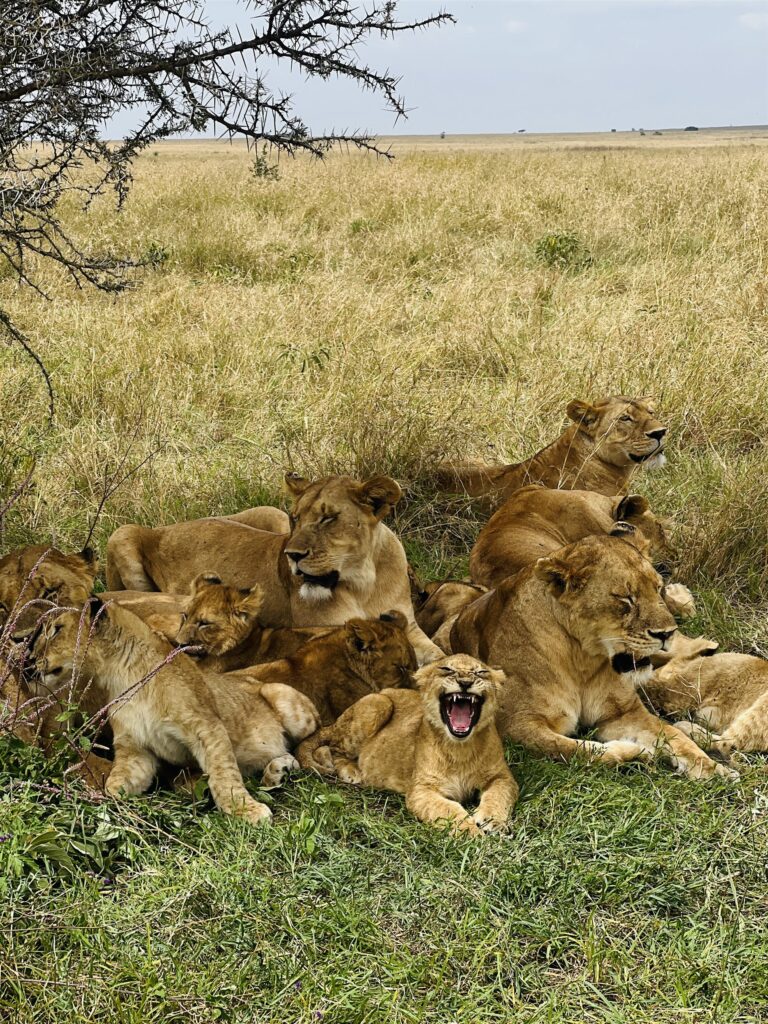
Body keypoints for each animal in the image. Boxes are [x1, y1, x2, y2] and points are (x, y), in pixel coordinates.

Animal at [28, 599, 320, 823]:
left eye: (56, 630)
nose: (30, 661)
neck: (121, 674)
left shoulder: (207, 727)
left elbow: (224, 776)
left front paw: (247, 811)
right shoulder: (135, 749)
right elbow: (114, 785)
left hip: (280, 695)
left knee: (303, 740)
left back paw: (283, 767)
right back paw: (275, 773)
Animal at [105, 473, 442, 664]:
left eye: (328, 518)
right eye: (297, 518)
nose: (292, 554)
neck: (363, 580)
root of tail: (168, 527)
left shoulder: (411, 627)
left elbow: (440, 653)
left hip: (269, 513)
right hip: (122, 532)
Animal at [297, 654, 518, 836]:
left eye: (481, 672)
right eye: (446, 669)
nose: (465, 682)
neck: (460, 748)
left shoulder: (503, 777)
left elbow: (497, 795)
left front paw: (493, 822)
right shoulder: (420, 790)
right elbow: (449, 809)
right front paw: (469, 832)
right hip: (377, 702)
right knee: (333, 748)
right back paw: (352, 772)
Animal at [450, 535, 734, 780]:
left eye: (658, 589)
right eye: (625, 599)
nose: (666, 633)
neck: (582, 660)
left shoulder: (622, 713)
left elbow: (674, 735)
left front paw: (712, 768)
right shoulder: (516, 724)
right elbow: (575, 749)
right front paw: (635, 754)